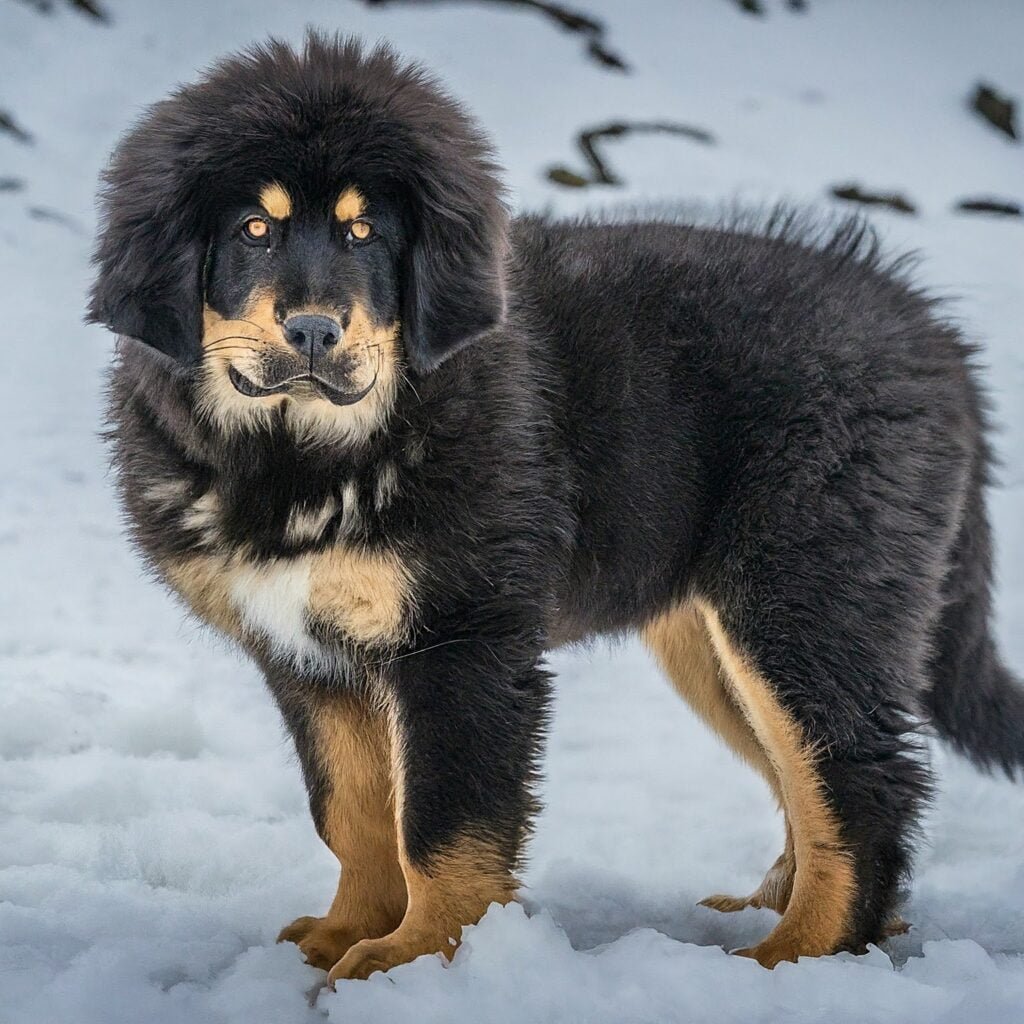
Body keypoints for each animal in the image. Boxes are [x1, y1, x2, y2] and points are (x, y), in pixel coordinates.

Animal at [90, 34, 1024, 983]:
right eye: (255, 229)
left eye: (365, 232)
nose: (315, 331)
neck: (308, 454)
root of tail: (935, 338)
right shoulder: (307, 657)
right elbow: (352, 811)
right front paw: (346, 935)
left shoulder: (467, 638)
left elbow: (443, 821)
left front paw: (417, 957)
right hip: (715, 633)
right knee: (804, 779)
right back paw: (775, 910)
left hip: (804, 593)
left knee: (859, 777)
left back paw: (793, 957)